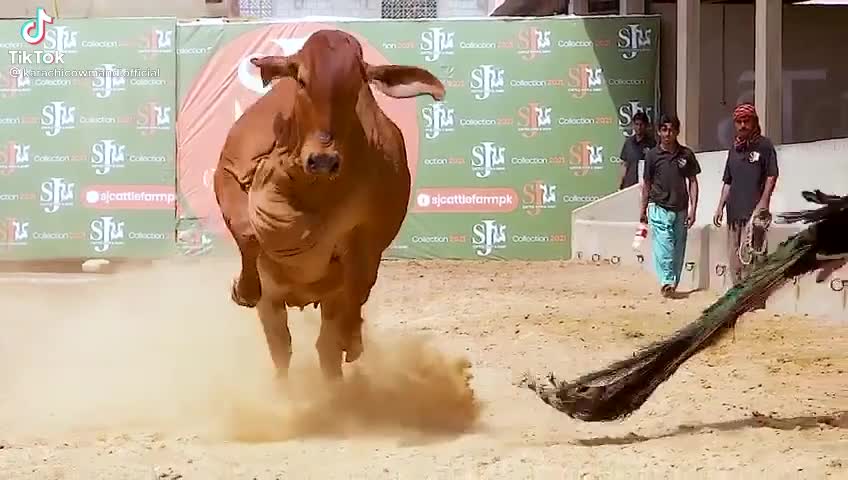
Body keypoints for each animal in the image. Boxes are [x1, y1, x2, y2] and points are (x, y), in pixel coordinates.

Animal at [214, 31, 444, 382]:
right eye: (302, 80)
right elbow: (247, 233)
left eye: (356, 86)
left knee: (327, 348)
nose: (322, 160)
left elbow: (357, 286)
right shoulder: (228, 171)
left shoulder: (370, 237)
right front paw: (244, 289)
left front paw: (352, 338)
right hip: (274, 304)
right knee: (281, 346)